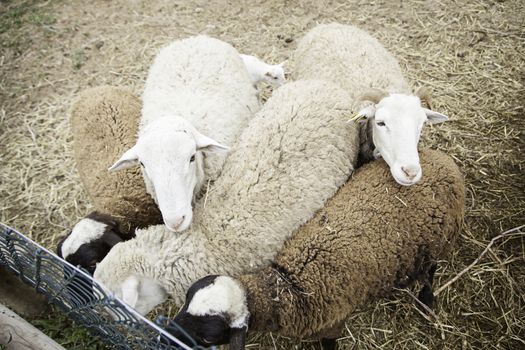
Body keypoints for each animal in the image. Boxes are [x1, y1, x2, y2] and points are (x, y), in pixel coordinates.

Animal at [167, 148, 462, 350]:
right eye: (186, 300)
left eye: (208, 335)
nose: (167, 334)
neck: (289, 285)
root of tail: (444, 161)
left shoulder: (333, 326)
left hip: (440, 241)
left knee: (431, 270)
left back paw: (426, 299)